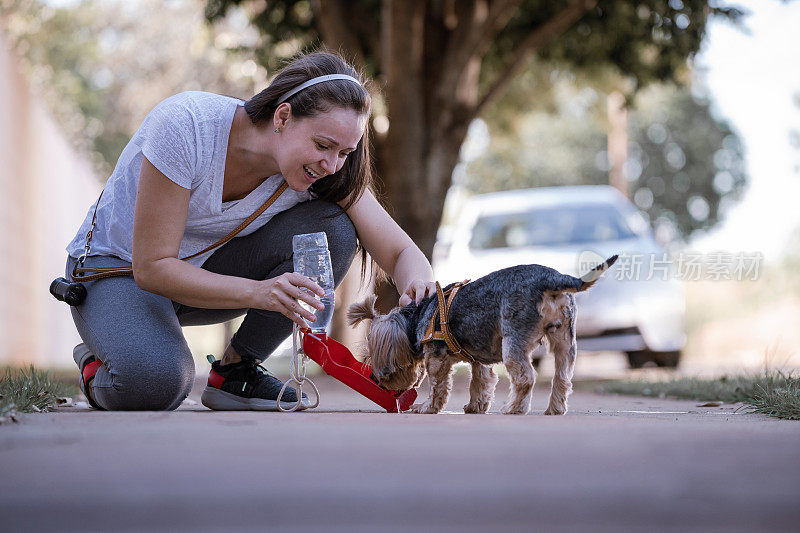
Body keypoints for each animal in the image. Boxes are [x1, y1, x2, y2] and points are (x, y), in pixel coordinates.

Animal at [346, 256, 616, 414]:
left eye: (372, 357)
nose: (376, 378)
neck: (420, 313)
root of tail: (552, 278)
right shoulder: (479, 360)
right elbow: (481, 382)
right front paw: (476, 406)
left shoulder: (436, 359)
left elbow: (437, 386)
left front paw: (427, 407)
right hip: (564, 340)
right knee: (562, 377)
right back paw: (555, 409)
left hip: (513, 340)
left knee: (525, 377)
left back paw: (514, 408)